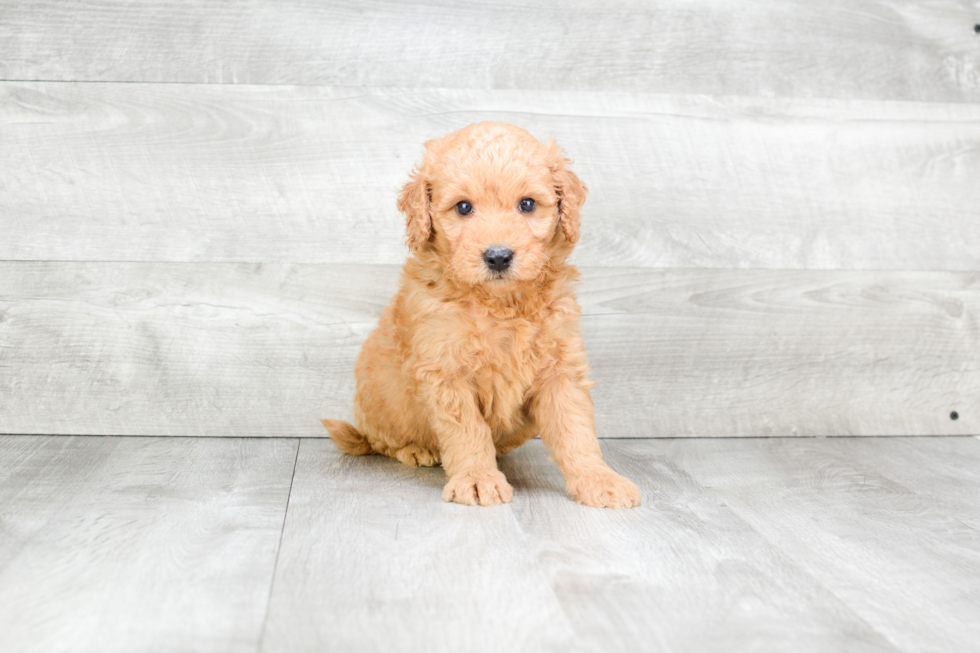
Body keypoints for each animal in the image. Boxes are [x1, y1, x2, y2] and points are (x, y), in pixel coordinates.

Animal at [324, 122, 644, 510]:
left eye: (527, 204)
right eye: (463, 207)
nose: (498, 256)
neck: (500, 303)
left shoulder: (561, 367)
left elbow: (575, 429)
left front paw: (599, 479)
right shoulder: (446, 371)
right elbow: (468, 431)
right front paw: (478, 479)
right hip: (378, 405)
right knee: (383, 442)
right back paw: (416, 450)